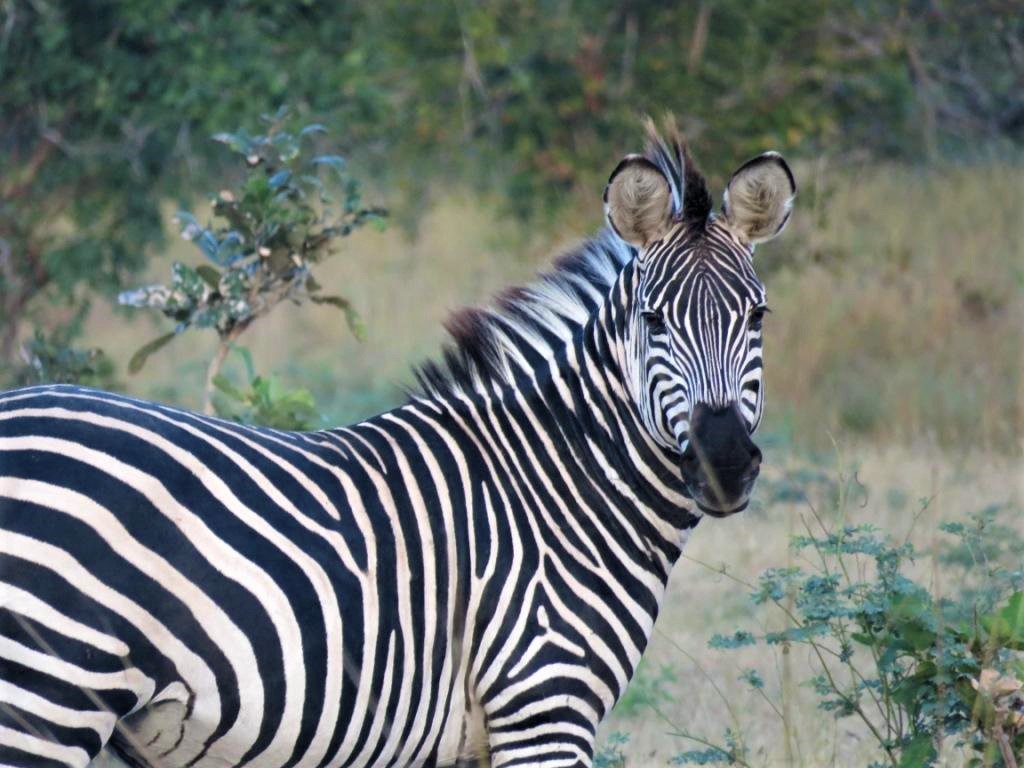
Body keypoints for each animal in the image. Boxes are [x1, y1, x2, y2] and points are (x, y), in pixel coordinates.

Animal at [0, 121, 794, 768]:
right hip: (47, 695)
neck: (558, 489)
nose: (723, 463)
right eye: (652, 321)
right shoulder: (543, 706)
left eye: (759, 316)